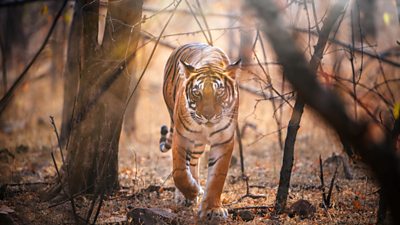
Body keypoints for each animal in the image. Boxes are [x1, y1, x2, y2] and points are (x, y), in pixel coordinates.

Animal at [159, 42, 241, 223]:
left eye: (220, 92)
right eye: (197, 92)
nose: (208, 116)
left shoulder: (224, 141)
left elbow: (217, 177)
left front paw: (213, 209)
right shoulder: (181, 137)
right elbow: (179, 172)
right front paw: (192, 192)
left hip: (197, 144)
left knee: (194, 162)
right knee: (187, 165)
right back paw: (185, 195)